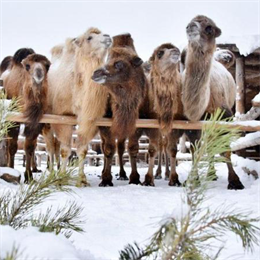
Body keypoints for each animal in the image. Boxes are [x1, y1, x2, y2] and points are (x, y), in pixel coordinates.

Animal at [182, 14, 245, 189]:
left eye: (209, 28)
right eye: (190, 22)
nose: (190, 26)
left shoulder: (225, 116)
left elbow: (225, 148)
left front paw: (235, 181)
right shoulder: (191, 123)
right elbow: (194, 150)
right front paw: (192, 180)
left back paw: (213, 175)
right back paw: (211, 174)